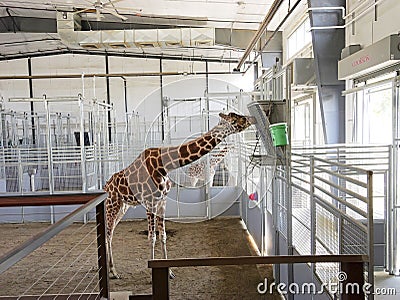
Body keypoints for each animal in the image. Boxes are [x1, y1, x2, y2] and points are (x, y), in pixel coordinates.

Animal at [103, 112, 253, 278]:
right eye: (235, 118)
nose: (250, 119)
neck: (163, 165)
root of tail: (107, 184)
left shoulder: (162, 201)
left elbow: (163, 235)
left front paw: (169, 272)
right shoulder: (150, 202)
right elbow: (152, 237)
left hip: (124, 205)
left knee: (111, 232)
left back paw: (111, 270)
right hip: (112, 203)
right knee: (108, 234)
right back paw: (113, 271)